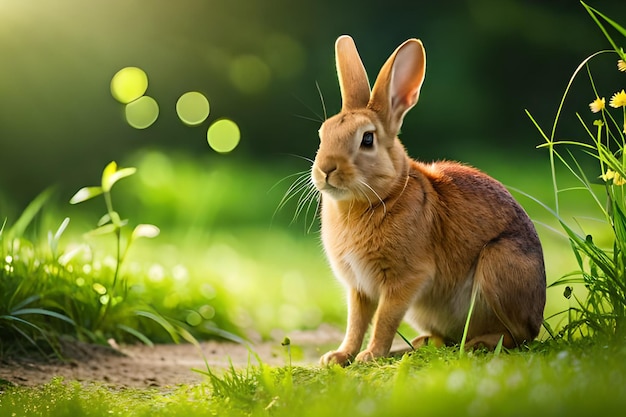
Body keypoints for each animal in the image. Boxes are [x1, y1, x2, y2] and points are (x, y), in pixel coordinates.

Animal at [310, 35, 544, 366]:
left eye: (367, 139)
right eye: (322, 134)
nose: (326, 169)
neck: (379, 197)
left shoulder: (406, 279)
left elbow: (384, 319)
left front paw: (370, 355)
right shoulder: (358, 288)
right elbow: (356, 322)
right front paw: (339, 356)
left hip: (498, 265)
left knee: (519, 336)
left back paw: (478, 344)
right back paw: (423, 343)